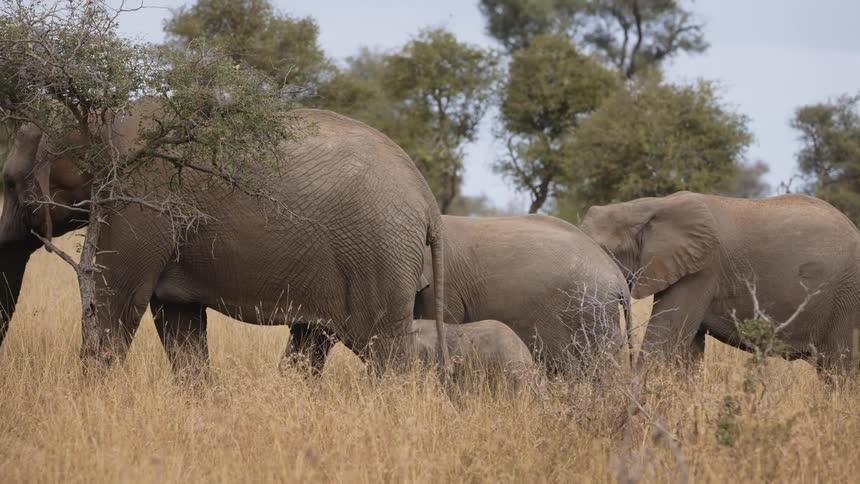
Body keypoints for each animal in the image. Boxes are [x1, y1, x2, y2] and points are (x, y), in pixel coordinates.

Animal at [0, 103, 450, 376]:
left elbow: (116, 300)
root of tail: (426, 197)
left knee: (384, 351)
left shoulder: (140, 199)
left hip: (379, 254)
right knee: (313, 339)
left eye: (8, 184)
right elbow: (178, 320)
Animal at [580, 191, 860, 372]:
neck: (645, 206)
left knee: (840, 368)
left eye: (607, 252)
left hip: (845, 298)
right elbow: (687, 354)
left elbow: (663, 342)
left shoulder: (701, 271)